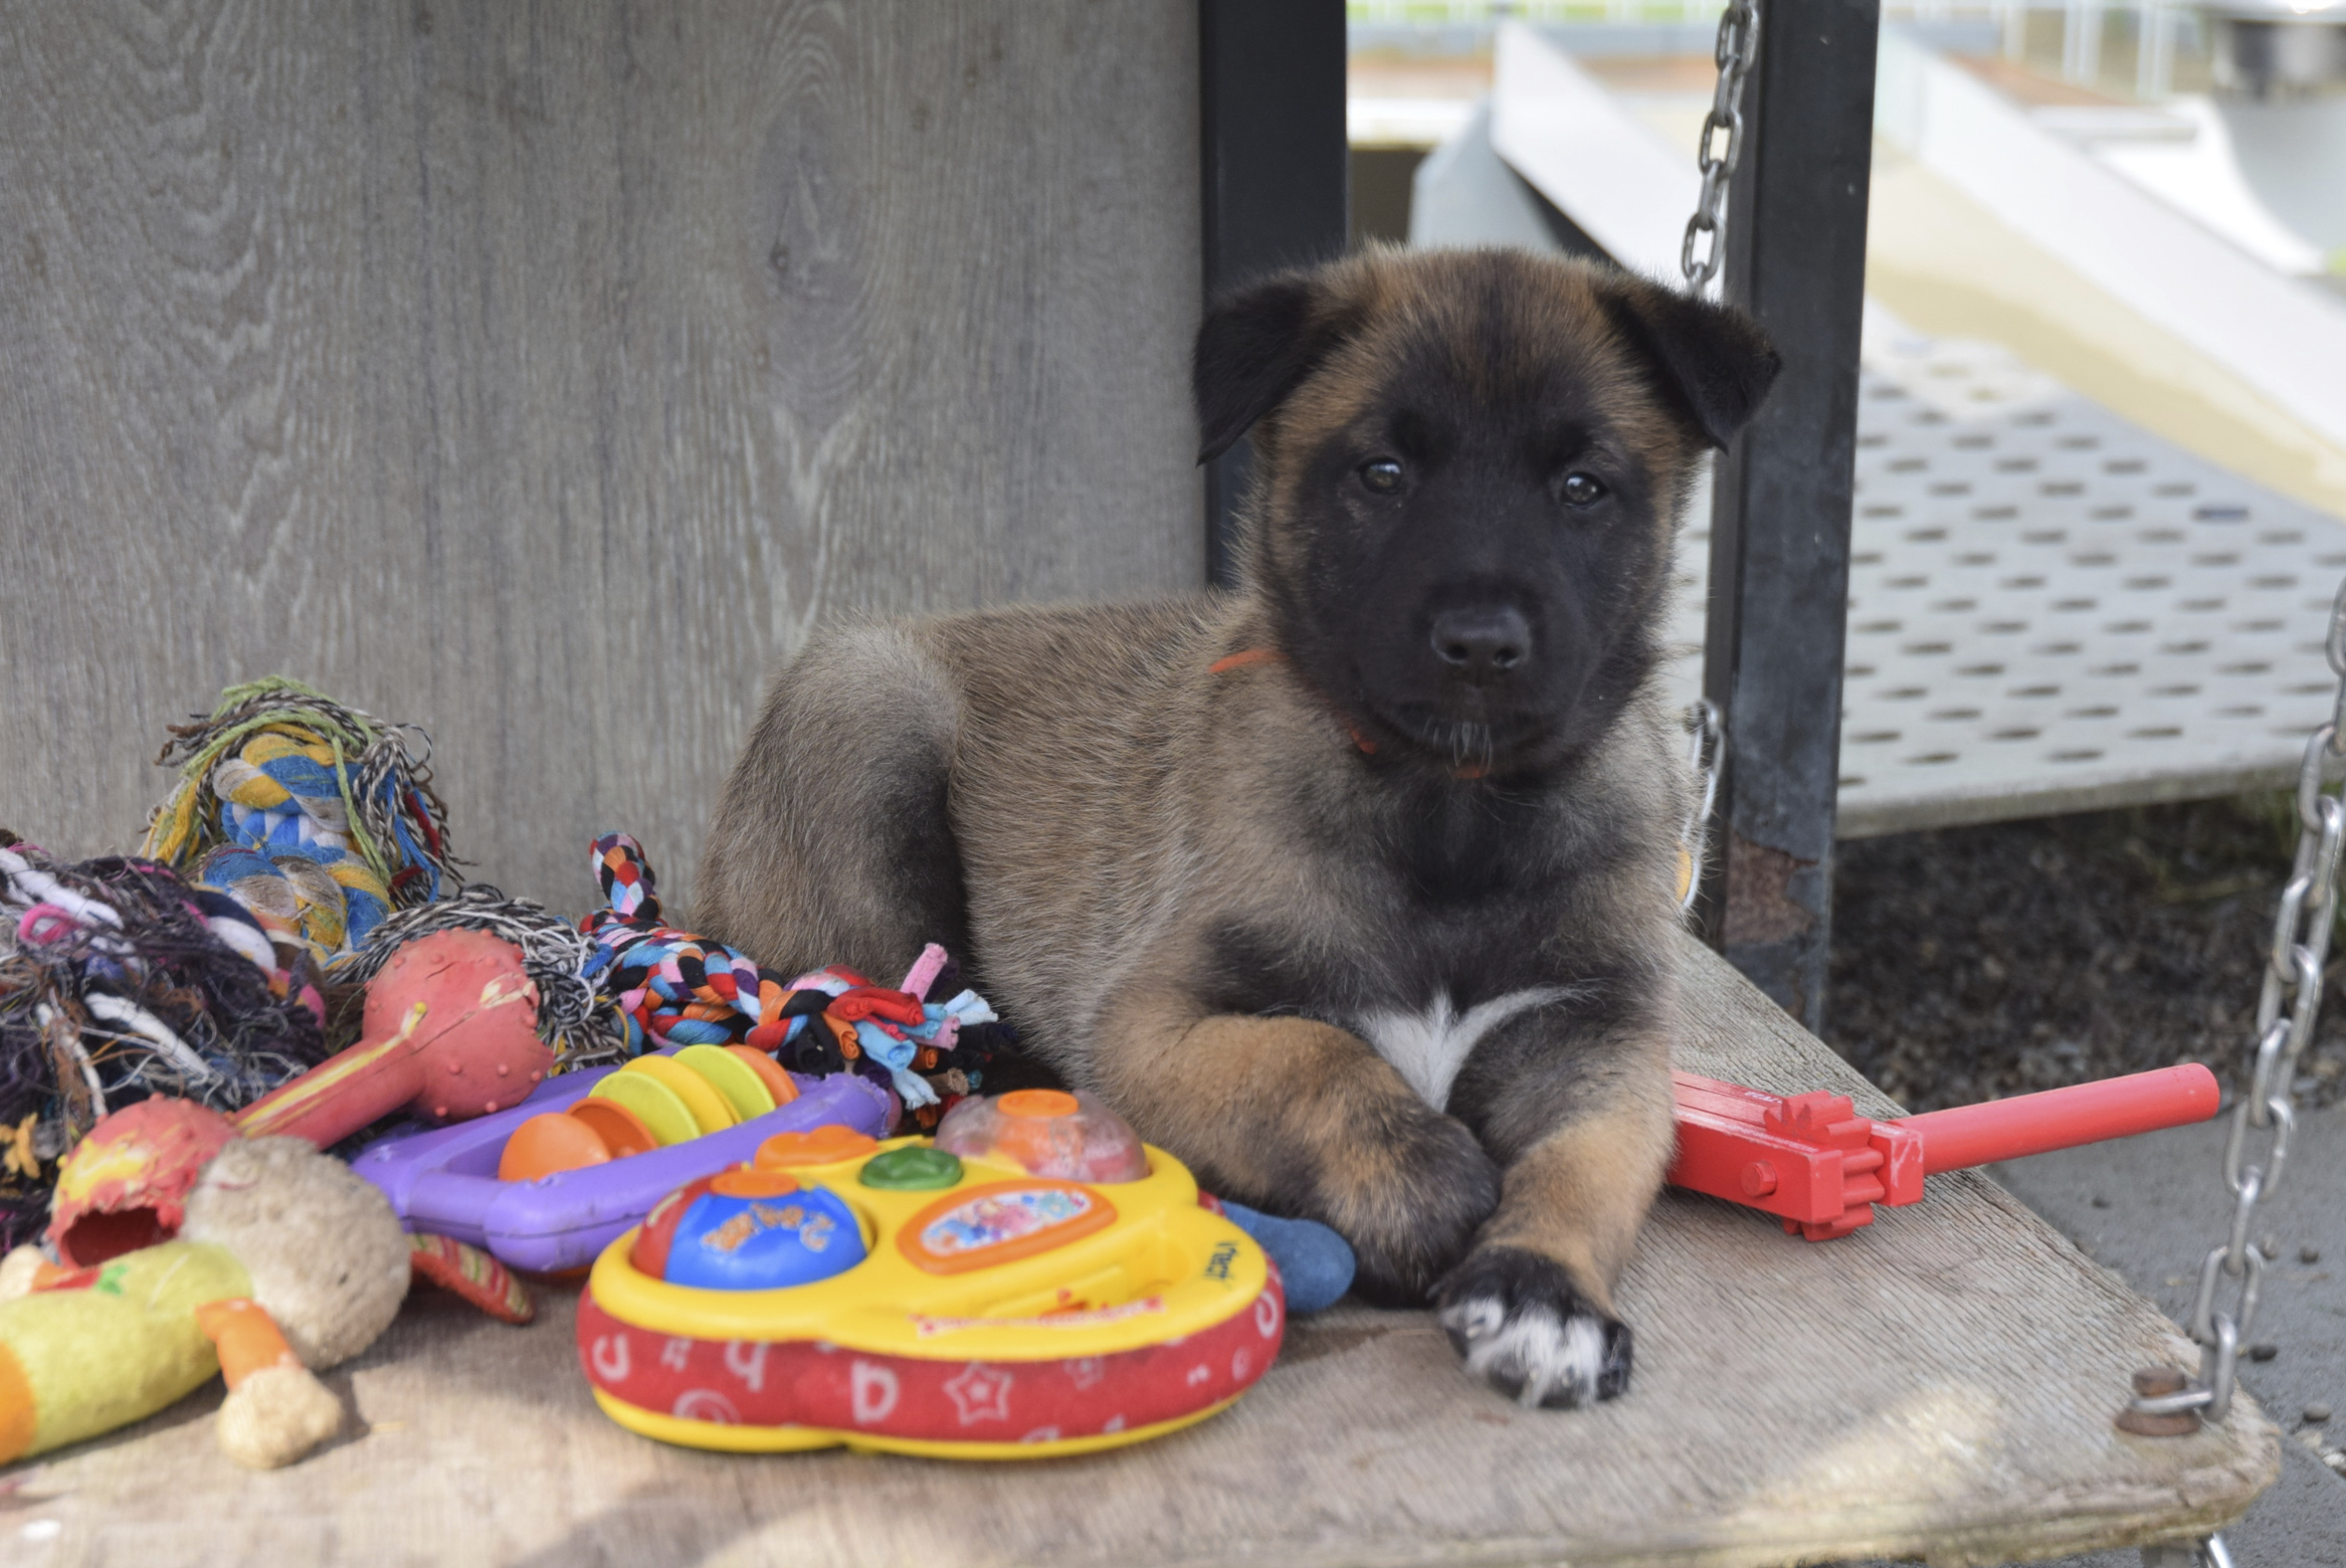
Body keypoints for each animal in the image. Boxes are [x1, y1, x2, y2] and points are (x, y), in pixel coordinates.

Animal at [694, 247, 1774, 1408]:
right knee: (890, 1030)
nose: (1481, 644)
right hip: (867, 721)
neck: (1449, 818)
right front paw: (1424, 1183)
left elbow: (1588, 1166)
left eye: (1582, 489)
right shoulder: (1151, 1024)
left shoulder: (1595, 1038)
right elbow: (1312, 1055)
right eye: (1381, 473)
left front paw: (1546, 1293)